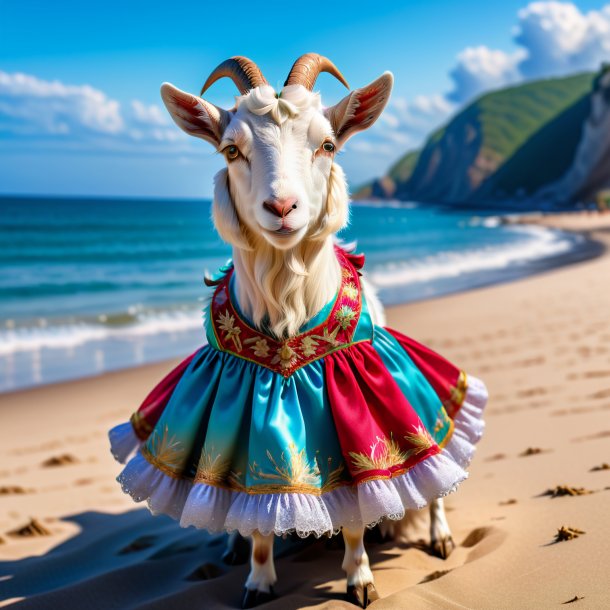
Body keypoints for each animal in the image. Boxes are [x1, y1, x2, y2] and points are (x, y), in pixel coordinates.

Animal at [159, 54, 454, 604]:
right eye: (232, 149)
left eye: (328, 144)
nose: (282, 208)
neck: (286, 303)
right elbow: (257, 517)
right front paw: (257, 581)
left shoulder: (349, 407)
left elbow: (358, 506)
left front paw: (360, 580)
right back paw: (231, 546)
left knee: (434, 471)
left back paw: (435, 534)